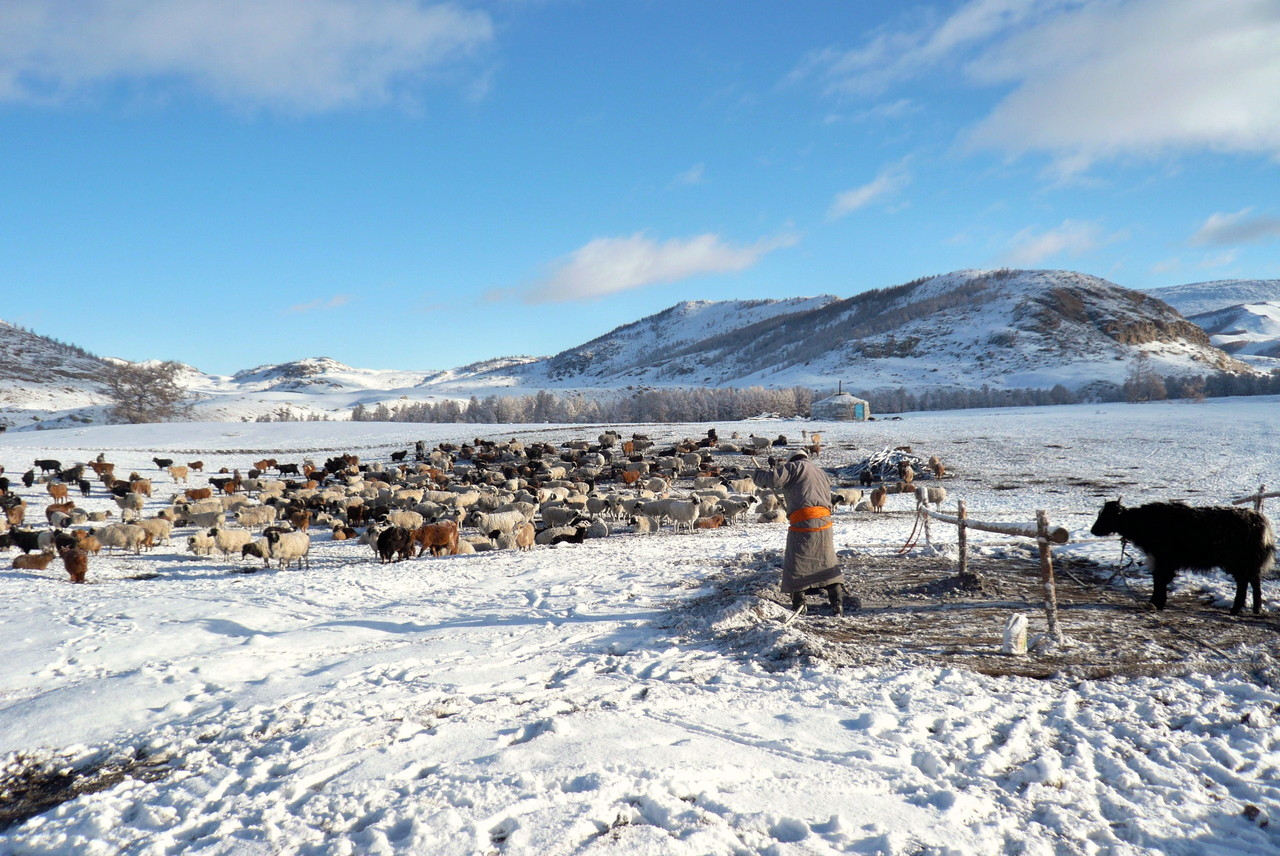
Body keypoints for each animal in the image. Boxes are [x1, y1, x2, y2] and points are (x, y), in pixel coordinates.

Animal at [1090, 501, 1280, 614]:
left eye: (1107, 516)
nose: (1093, 530)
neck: (1145, 522)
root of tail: (1259, 519)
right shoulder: (1158, 560)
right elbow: (1157, 579)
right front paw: (1154, 602)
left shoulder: (1164, 560)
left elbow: (1160, 579)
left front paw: (1157, 603)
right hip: (1242, 563)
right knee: (1249, 581)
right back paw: (1248, 609)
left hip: (1241, 561)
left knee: (1248, 581)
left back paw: (1242, 609)